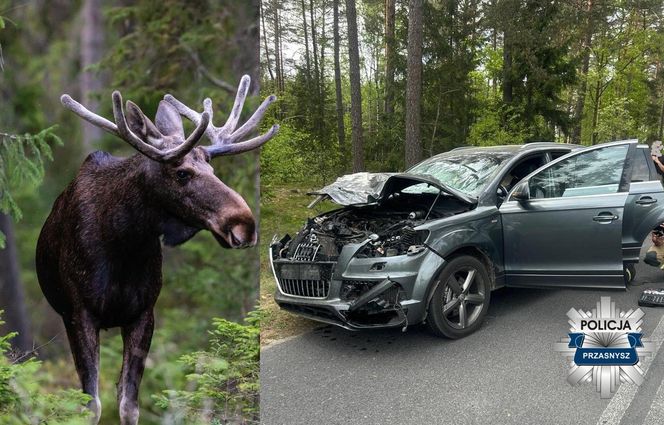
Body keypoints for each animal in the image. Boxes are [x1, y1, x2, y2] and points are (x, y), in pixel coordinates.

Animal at [37, 77, 274, 424]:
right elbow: (91, 404)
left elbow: (128, 403)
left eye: (213, 171)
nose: (245, 224)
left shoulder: (143, 314)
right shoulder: (81, 314)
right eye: (182, 173)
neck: (124, 243)